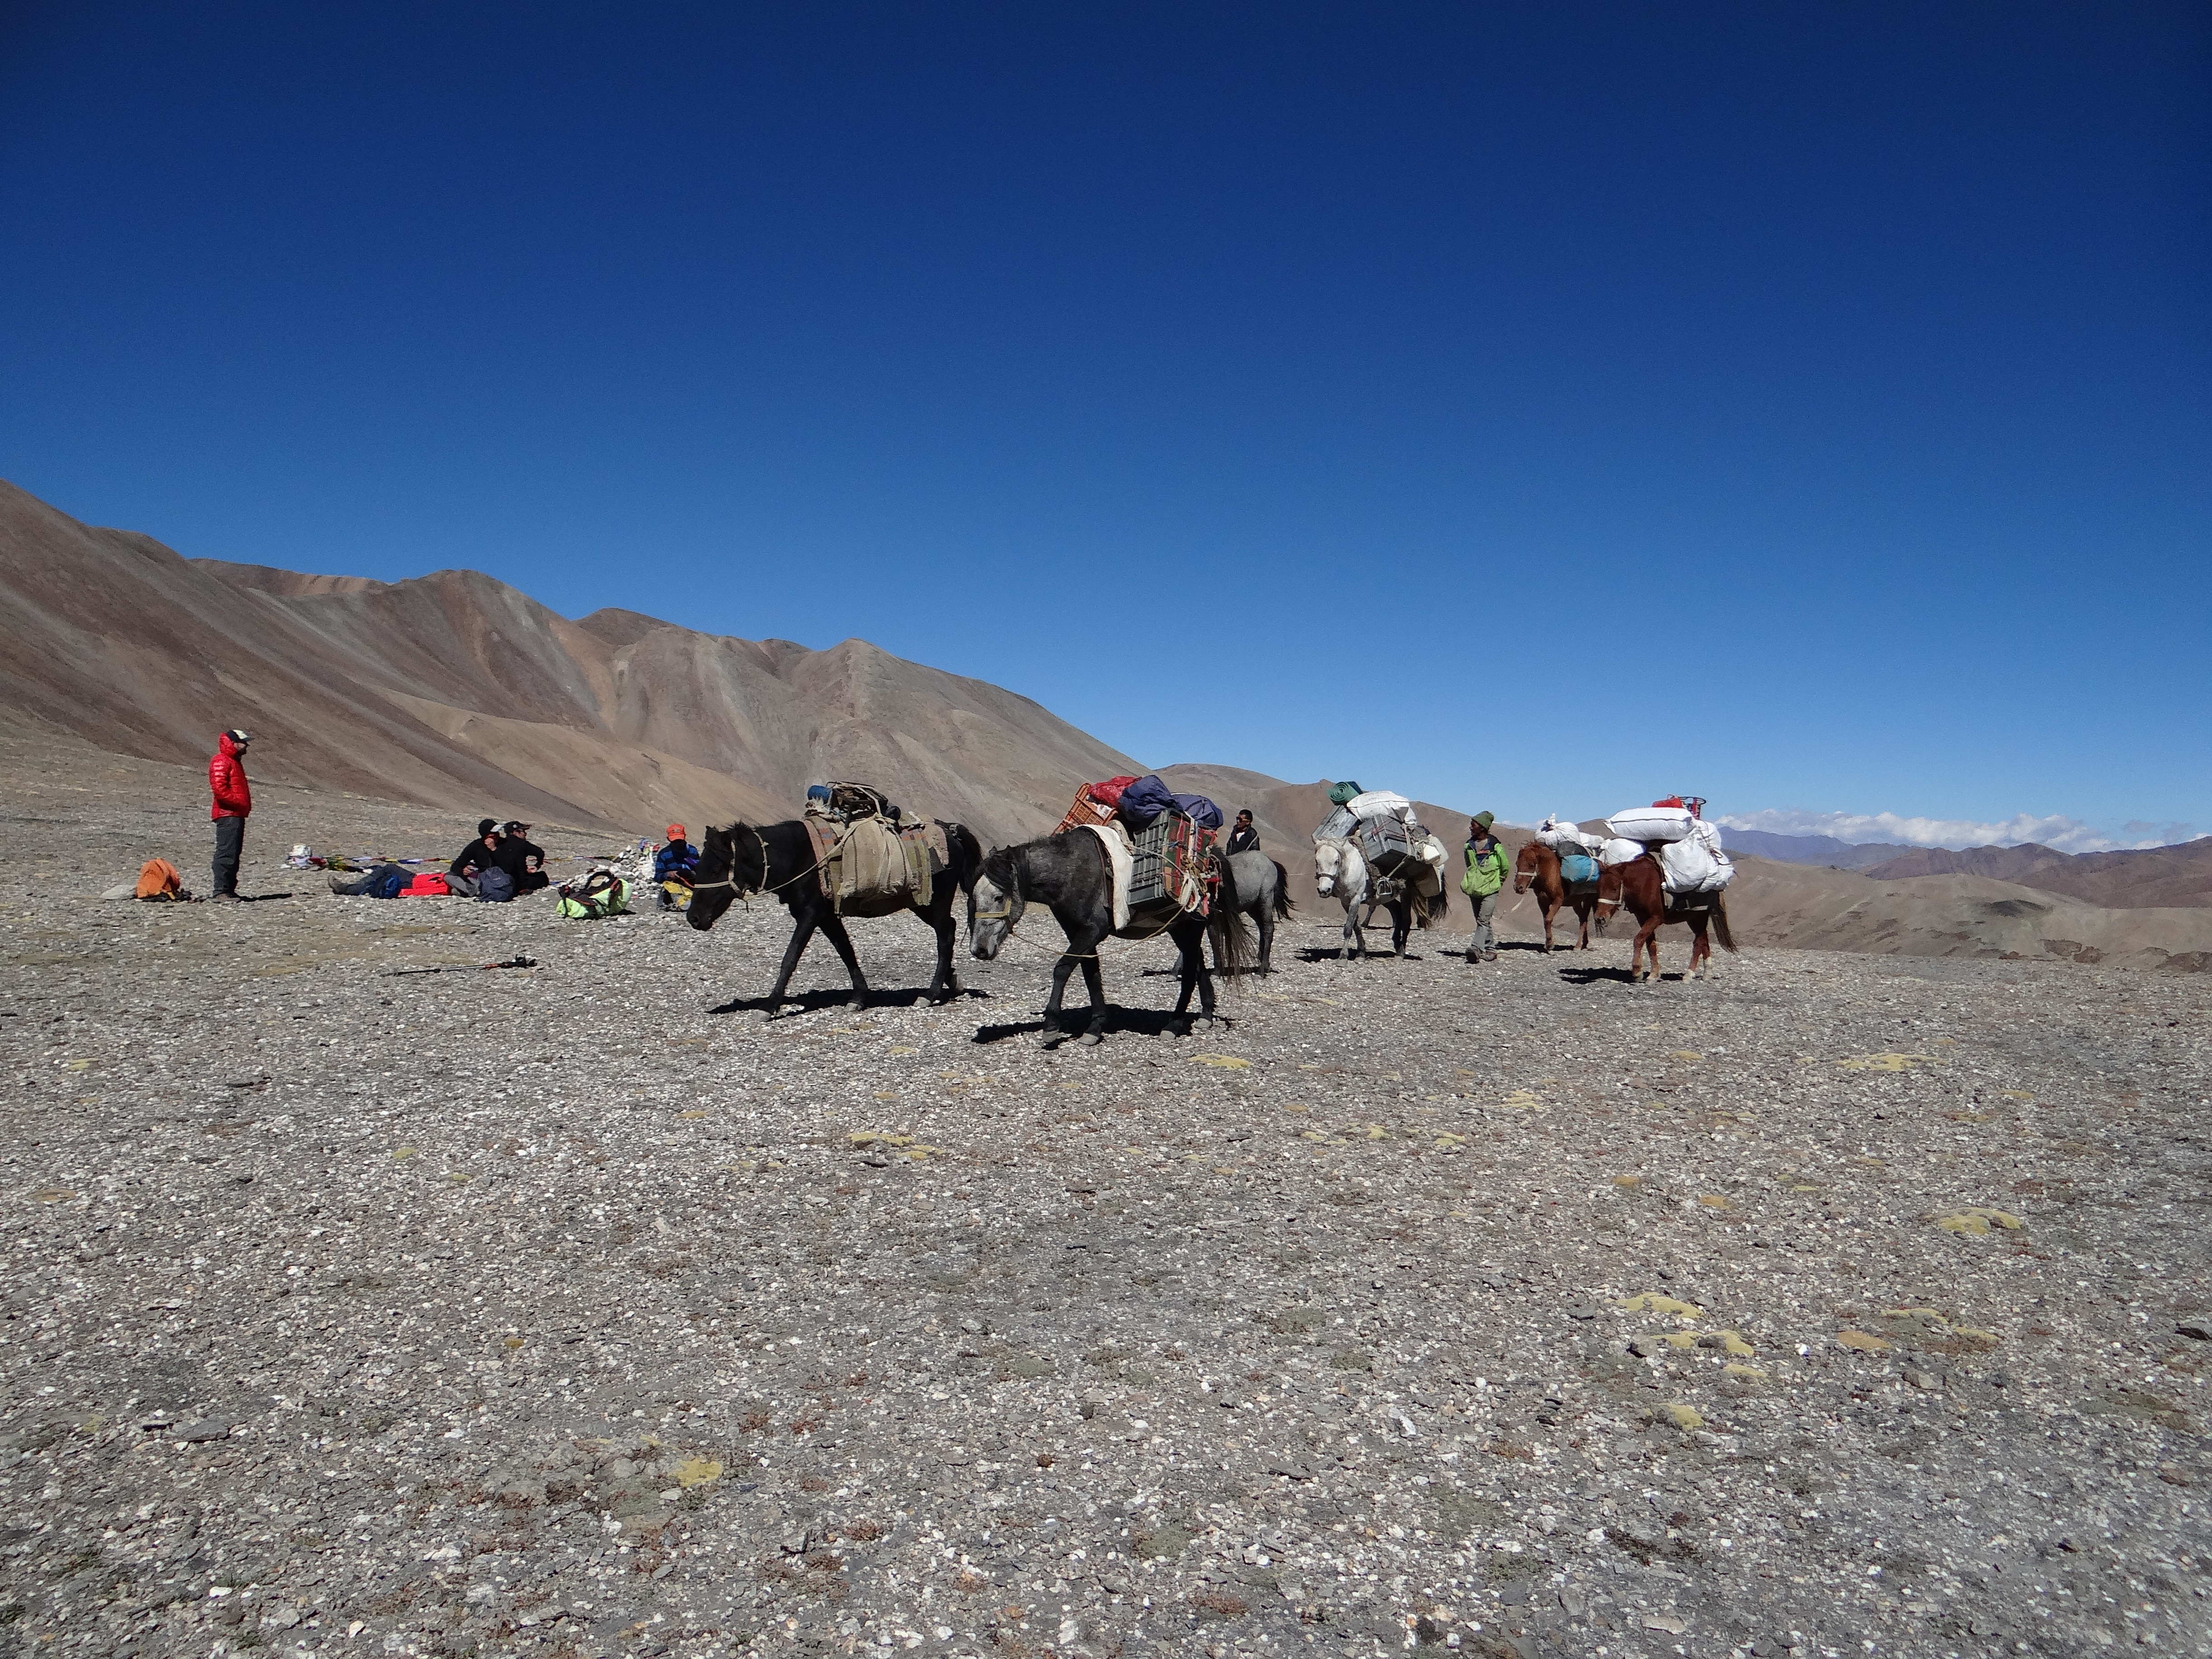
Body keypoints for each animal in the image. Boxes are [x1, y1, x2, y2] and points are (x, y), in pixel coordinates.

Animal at [681, 823, 978, 1013]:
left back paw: (930, 994)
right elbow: (846, 951)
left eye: (715, 869)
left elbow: (790, 958)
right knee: (947, 933)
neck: (797, 857)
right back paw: (952, 982)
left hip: (933, 903)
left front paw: (769, 1005)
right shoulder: (826, 917)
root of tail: (951, 833)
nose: (694, 918)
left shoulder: (809, 915)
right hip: (924, 905)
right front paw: (858, 998)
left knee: (945, 935)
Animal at [964, 827, 1256, 1044]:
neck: (1070, 871)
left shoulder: (1094, 931)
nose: (979, 950)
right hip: (1179, 928)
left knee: (1192, 967)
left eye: (999, 897)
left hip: (1191, 927)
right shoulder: (1078, 932)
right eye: (972, 898)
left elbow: (1063, 968)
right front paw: (1094, 1028)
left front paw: (1051, 1026)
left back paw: (1173, 1025)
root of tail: (1211, 860)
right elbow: (1090, 973)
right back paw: (1205, 1015)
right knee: (1197, 964)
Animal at [1513, 849, 1601, 956]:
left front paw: (1550, 945)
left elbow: (1548, 919)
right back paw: (1584, 944)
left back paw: (1578, 946)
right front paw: (1548, 945)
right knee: (1583, 918)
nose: (1518, 888)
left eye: (1531, 865)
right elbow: (1545, 921)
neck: (1549, 875)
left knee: (1584, 920)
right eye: (1517, 864)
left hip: (1588, 900)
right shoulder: (1542, 902)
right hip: (1576, 903)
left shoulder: (1558, 900)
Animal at [1601, 849, 1734, 982]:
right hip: (1693, 919)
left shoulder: (1656, 918)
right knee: (1704, 941)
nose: (1600, 918)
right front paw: (1654, 975)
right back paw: (1707, 974)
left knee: (1699, 943)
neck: (1644, 882)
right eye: (1599, 887)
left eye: (1614, 888)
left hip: (1699, 917)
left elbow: (1639, 939)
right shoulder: (1643, 918)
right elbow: (1651, 944)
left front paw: (1638, 972)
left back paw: (1689, 975)